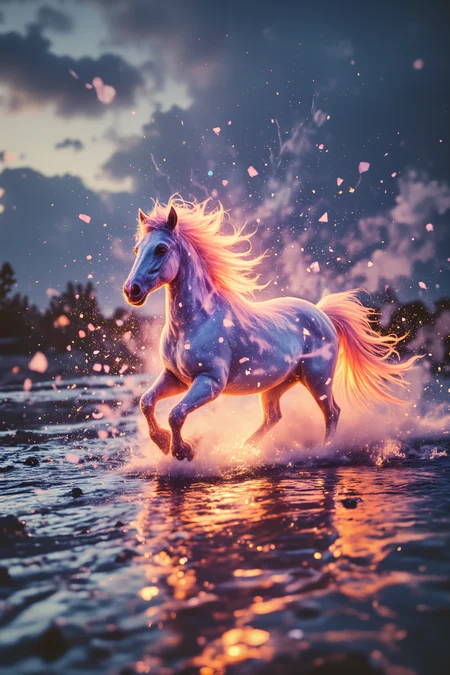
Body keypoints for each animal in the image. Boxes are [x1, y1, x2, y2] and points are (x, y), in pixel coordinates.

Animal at [123, 197, 420, 461]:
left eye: (161, 249)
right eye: (137, 249)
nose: (131, 290)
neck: (194, 323)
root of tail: (321, 313)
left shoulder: (210, 381)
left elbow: (176, 414)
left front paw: (182, 451)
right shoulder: (175, 377)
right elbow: (147, 402)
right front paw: (163, 443)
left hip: (318, 379)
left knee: (332, 412)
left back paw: (322, 452)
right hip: (276, 384)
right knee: (273, 417)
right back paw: (243, 451)